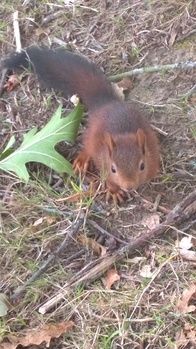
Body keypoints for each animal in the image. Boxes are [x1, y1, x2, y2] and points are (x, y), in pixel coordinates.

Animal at [0, 47, 159, 203]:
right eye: (113, 168)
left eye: (142, 166)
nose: (129, 186)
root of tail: (106, 103)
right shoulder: (102, 161)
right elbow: (107, 178)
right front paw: (114, 190)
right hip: (90, 136)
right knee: (87, 146)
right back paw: (82, 160)